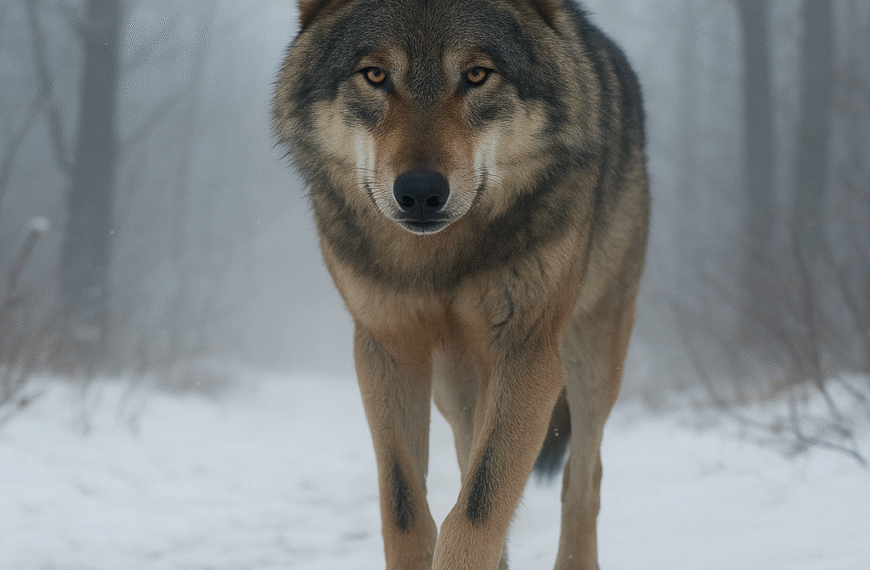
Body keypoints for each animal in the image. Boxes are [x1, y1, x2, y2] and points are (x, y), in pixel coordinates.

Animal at [273, 0, 649, 568]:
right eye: (375, 75)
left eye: (476, 75)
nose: (421, 192)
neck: (437, 262)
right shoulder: (388, 348)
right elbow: (406, 509)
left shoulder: (527, 350)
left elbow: (476, 509)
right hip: (455, 387)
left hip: (590, 356)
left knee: (583, 478)